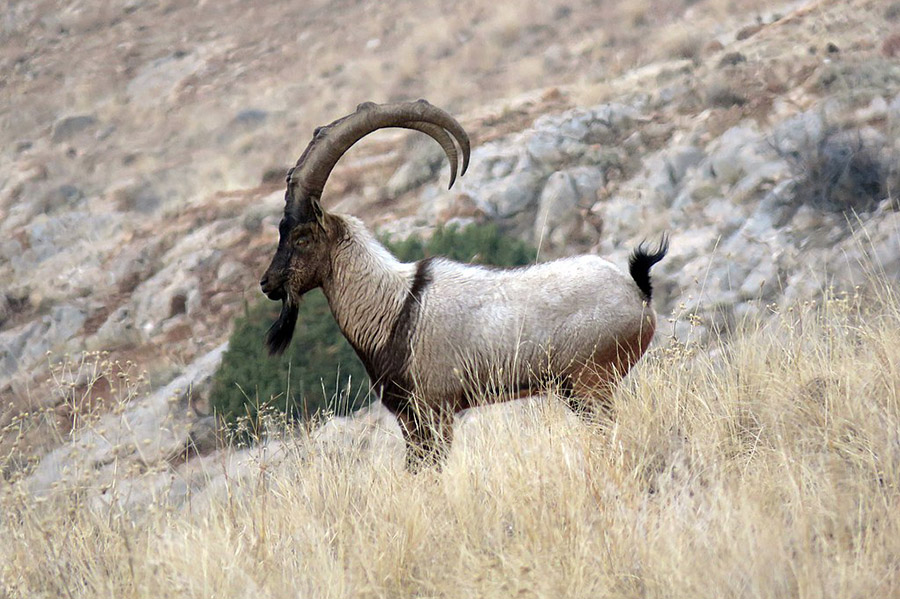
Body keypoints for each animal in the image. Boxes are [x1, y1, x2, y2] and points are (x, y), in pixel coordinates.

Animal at [259, 100, 668, 469]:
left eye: (301, 237)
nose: (268, 283)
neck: (393, 308)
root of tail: (637, 292)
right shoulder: (411, 419)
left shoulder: (433, 411)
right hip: (577, 391)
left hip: (591, 382)